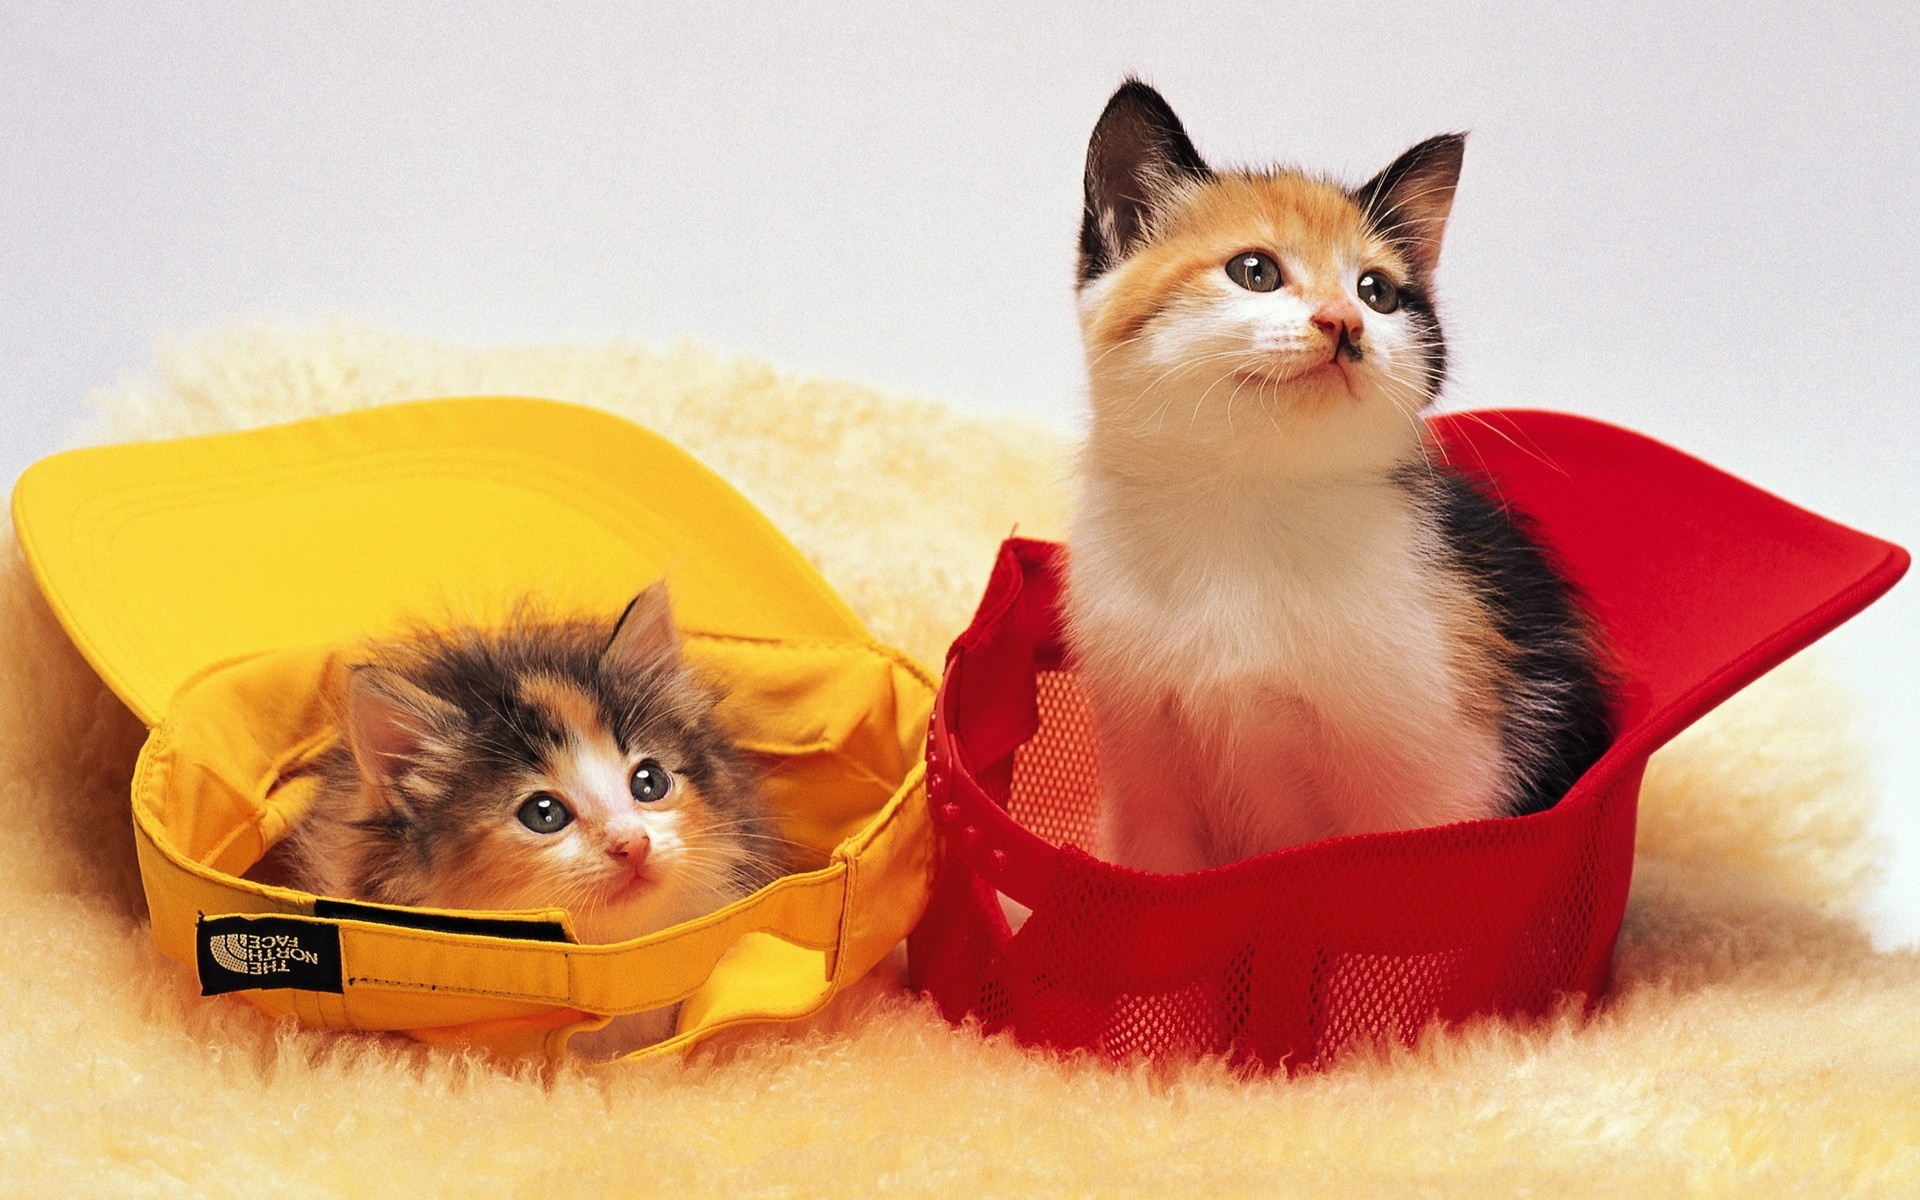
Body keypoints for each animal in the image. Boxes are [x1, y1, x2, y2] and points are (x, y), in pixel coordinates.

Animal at [1059, 84, 1612, 871]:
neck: (1248, 502)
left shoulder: (1437, 771)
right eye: (1254, 271)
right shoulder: (1145, 763)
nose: (1343, 322)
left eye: (1376, 291)